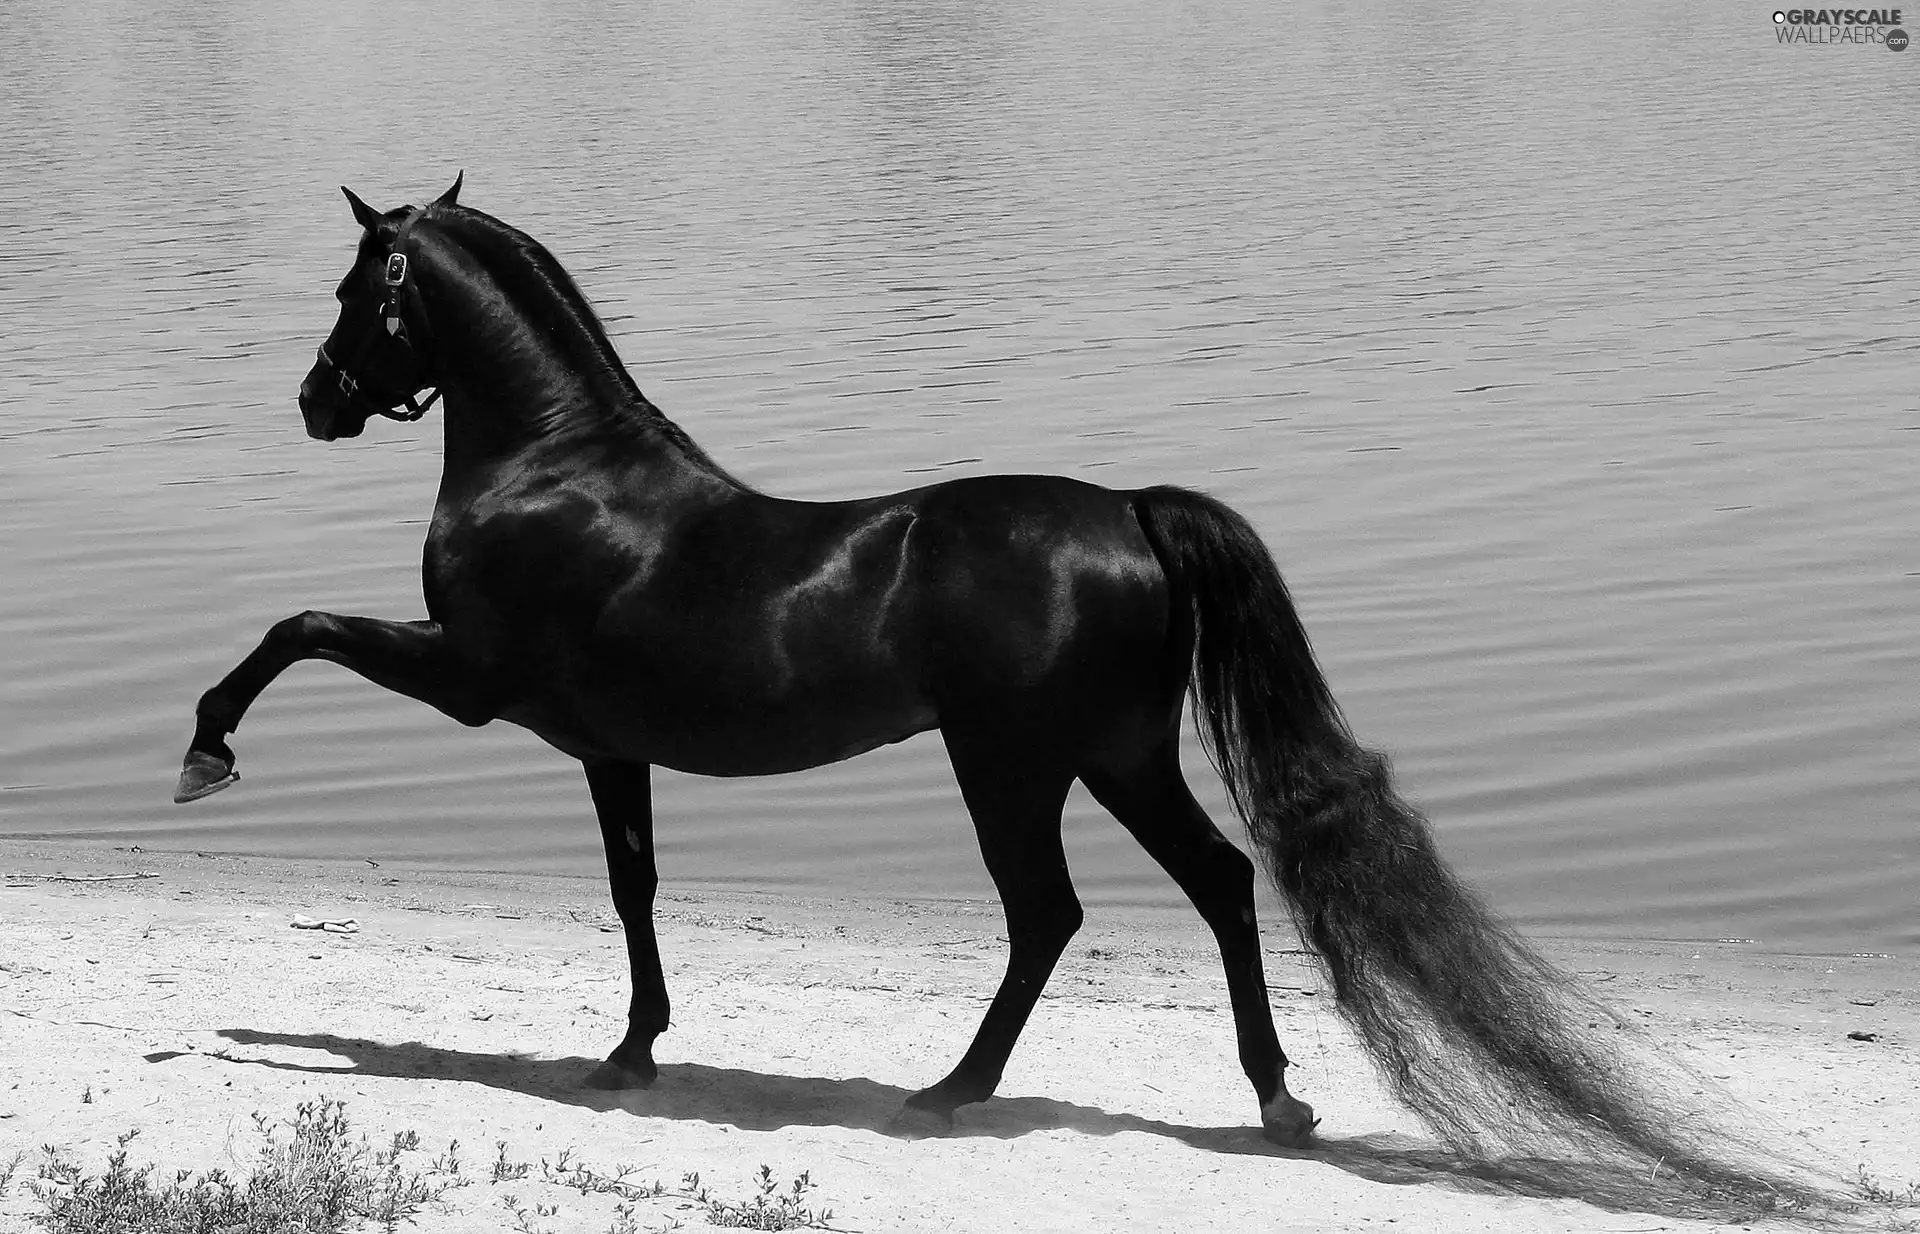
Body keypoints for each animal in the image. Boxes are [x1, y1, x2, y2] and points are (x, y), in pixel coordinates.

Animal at [165, 178, 1797, 1189]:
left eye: (355, 288)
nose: (315, 401)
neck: (558, 469)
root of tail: (1128, 509)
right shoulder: (601, 745)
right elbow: (634, 887)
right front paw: (631, 1051)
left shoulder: (473, 681)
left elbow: (295, 625)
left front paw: (205, 752)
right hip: (1115, 756)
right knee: (1216, 882)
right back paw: (1272, 1095)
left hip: (1011, 763)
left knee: (1051, 914)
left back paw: (954, 1091)